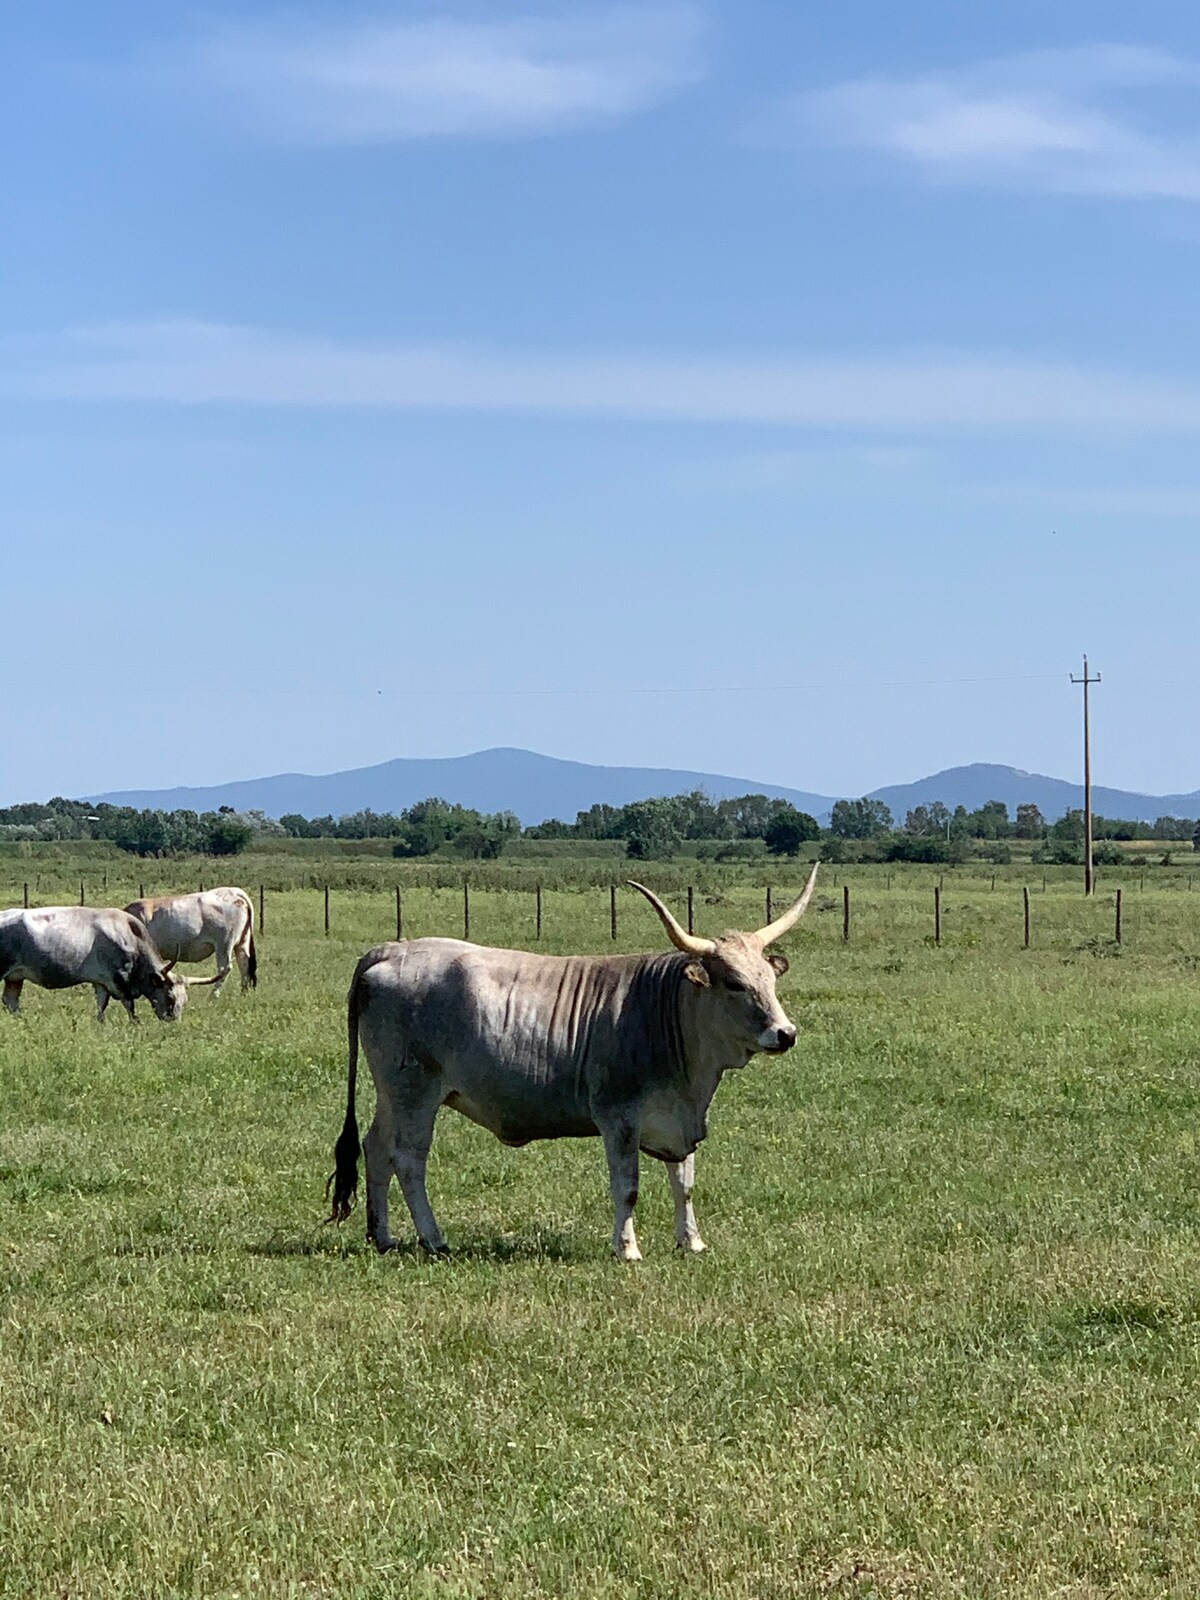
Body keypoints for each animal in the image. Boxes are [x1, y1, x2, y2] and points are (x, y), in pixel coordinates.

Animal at [0, 908, 188, 1017]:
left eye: (184, 1000)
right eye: (170, 997)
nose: (172, 1020)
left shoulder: (101, 982)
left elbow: (101, 1006)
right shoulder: (118, 980)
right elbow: (129, 1006)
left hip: (15, 977)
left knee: (10, 1001)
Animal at [124, 883, 259, 992]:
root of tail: (233, 891)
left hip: (224, 944)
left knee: (224, 969)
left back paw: (212, 997)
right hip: (242, 942)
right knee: (244, 964)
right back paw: (243, 993)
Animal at [326, 864, 819, 1260]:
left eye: (769, 977)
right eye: (734, 983)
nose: (785, 1033)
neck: (662, 1011)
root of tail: (390, 950)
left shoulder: (679, 1120)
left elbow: (685, 1183)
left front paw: (692, 1242)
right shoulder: (619, 1120)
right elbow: (628, 1188)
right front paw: (627, 1248)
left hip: (392, 1094)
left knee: (375, 1148)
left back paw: (383, 1236)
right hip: (415, 1094)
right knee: (408, 1159)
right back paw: (433, 1238)